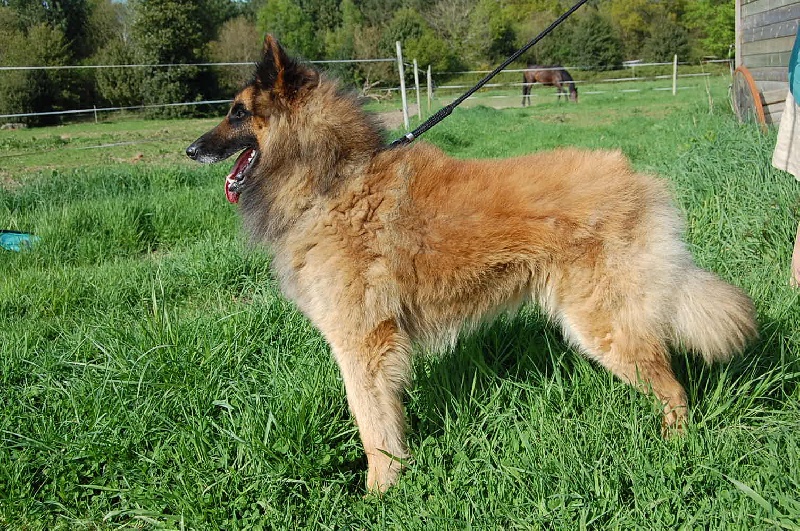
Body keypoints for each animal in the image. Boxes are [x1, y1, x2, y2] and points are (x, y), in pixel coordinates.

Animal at [186, 35, 758, 493]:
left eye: (237, 112)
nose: (190, 150)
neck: (333, 179)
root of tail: (636, 179)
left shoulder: (362, 344)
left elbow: (371, 426)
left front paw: (379, 492)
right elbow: (384, 421)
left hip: (603, 325)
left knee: (674, 389)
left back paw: (672, 451)